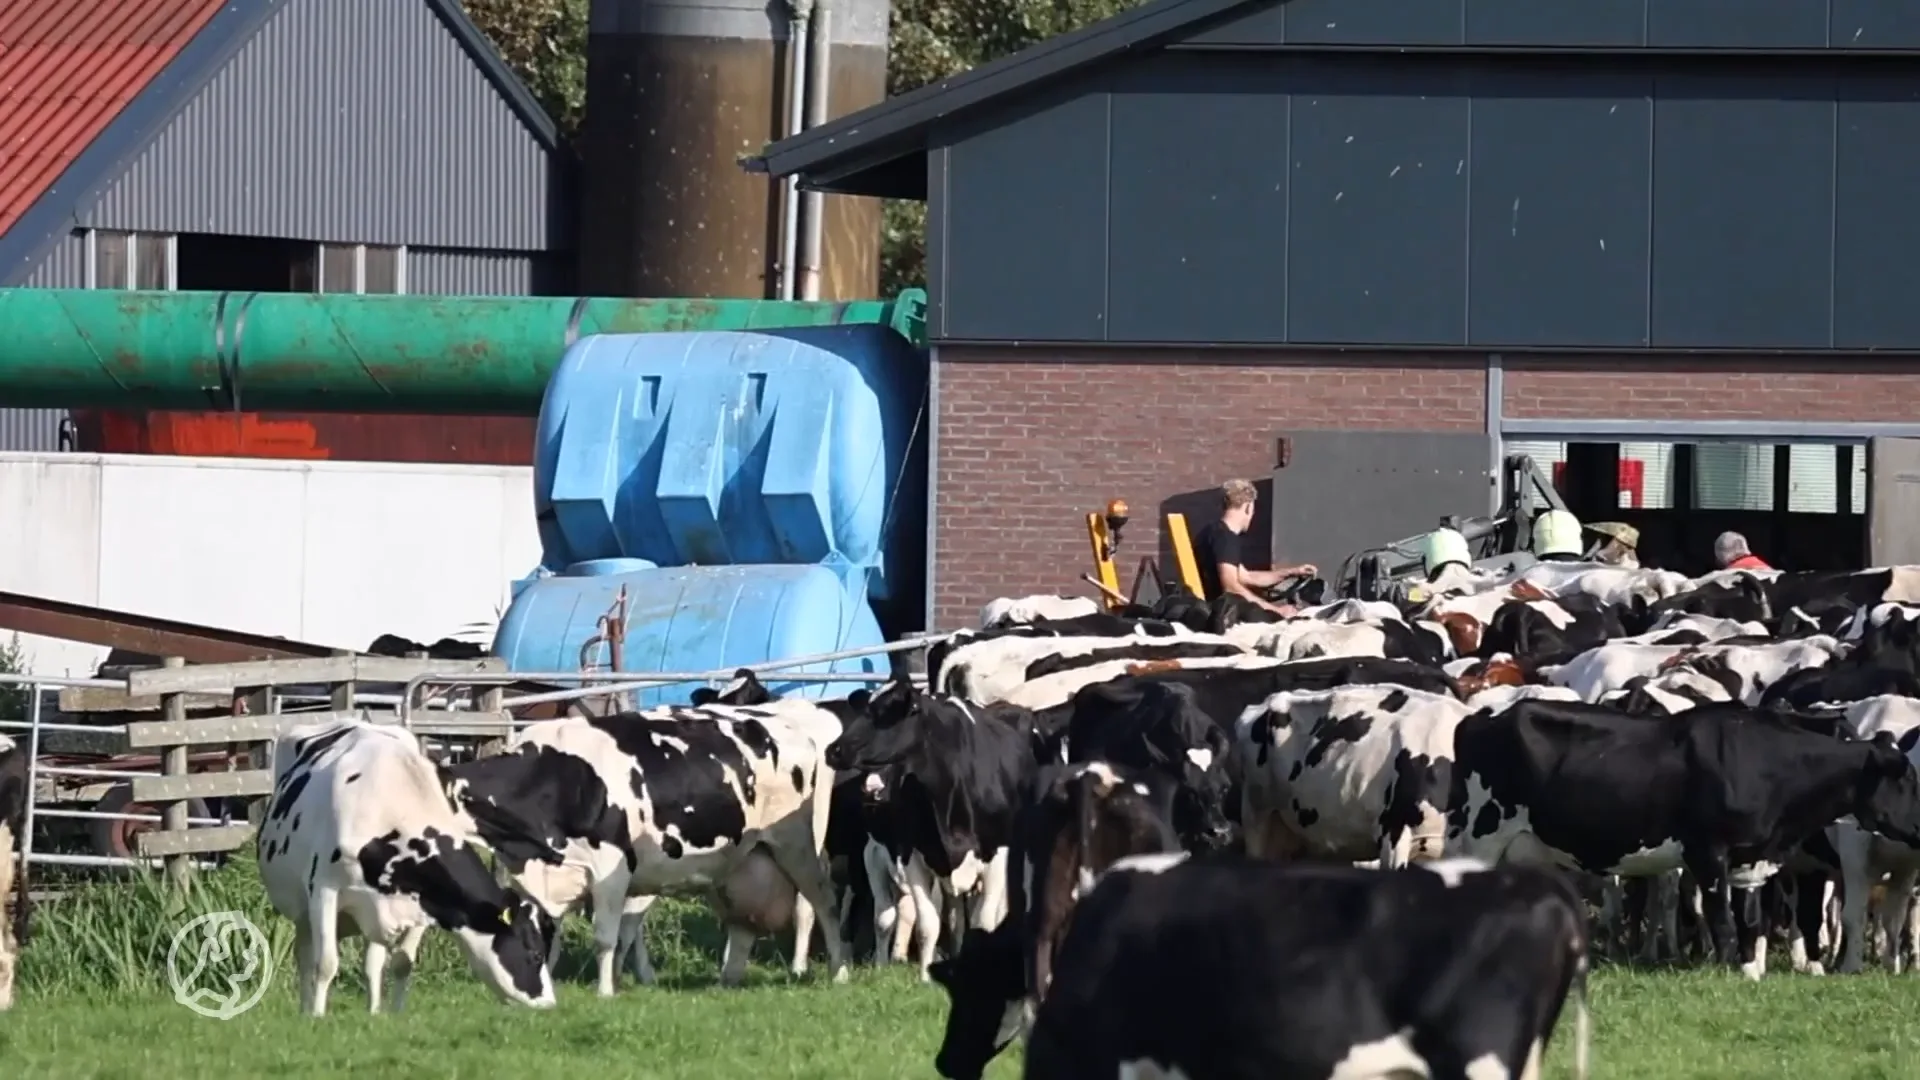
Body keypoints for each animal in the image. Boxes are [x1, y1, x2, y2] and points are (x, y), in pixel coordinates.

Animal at [257, 717, 562, 1015]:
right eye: (535, 954)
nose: (549, 1004)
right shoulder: (324, 890)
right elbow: (326, 964)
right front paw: (318, 1018)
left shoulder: (423, 903)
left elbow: (403, 963)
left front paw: (394, 1016)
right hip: (300, 908)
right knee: (305, 956)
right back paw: (306, 1010)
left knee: (372, 961)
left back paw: (373, 1011)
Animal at [444, 697, 853, 995]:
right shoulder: (539, 879)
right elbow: (549, 934)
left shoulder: (611, 869)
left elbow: (605, 937)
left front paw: (605, 992)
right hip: (739, 860)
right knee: (742, 921)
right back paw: (727, 981)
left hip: (798, 845)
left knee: (821, 904)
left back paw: (838, 972)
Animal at [1445, 698, 1920, 979]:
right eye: (1906, 778)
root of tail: (1482, 717)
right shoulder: (1707, 851)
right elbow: (1722, 919)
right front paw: (1725, 971)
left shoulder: (1750, 858)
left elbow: (1749, 920)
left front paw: (1751, 973)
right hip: (1479, 837)